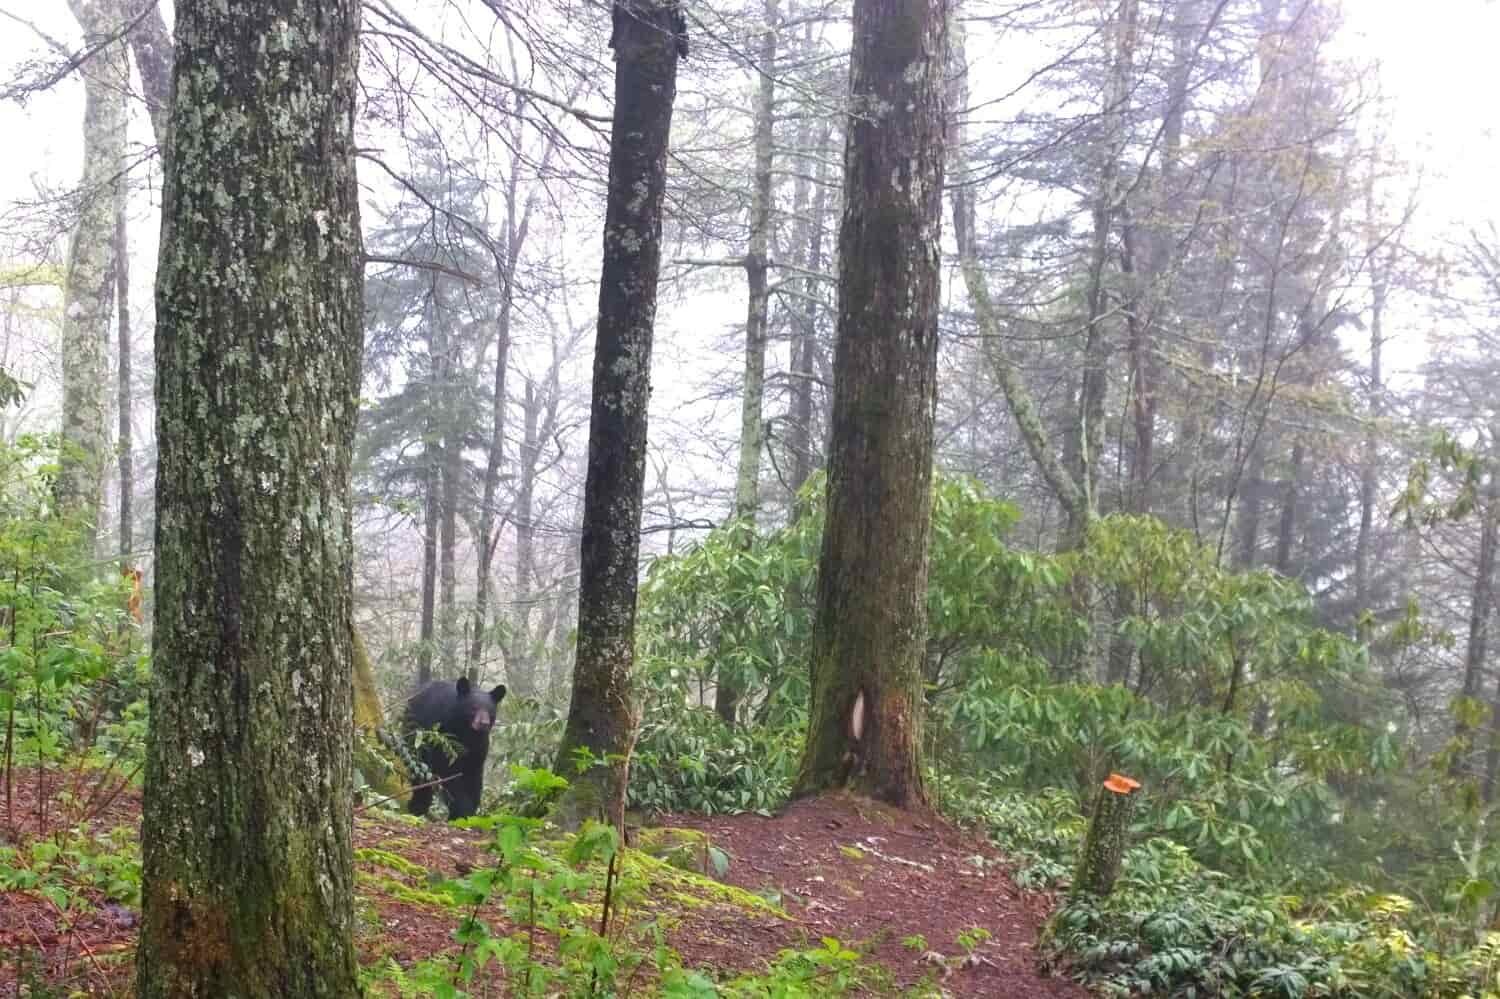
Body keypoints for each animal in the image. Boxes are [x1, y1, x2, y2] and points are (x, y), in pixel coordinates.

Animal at [400, 677, 507, 820]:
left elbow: (474, 775)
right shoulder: (444, 737)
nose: (483, 724)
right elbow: (449, 773)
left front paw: (470, 812)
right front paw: (463, 811)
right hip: (416, 732)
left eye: (490, 711)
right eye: (474, 708)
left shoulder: (479, 745)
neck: (466, 732)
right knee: (419, 766)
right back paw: (418, 806)